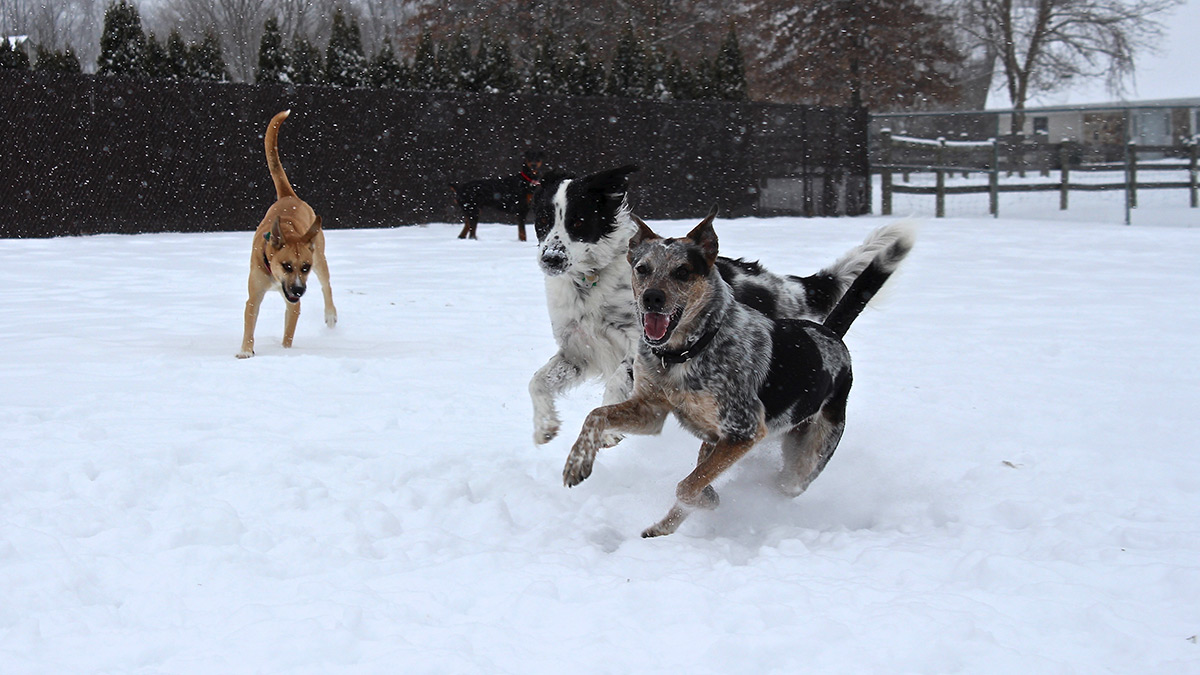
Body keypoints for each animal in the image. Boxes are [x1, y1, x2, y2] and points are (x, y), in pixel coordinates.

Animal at [237, 109, 338, 357]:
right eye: (286, 265)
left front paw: (285, 352)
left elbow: (289, 332)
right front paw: (246, 350)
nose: (300, 290)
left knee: (326, 285)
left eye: (305, 267)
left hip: (320, 257)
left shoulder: (294, 302)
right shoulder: (254, 294)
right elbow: (250, 320)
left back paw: (331, 314)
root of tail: (288, 196)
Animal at [561, 206, 907, 535]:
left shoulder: (745, 432)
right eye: (642, 269)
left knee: (782, 481)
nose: (652, 298)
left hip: (804, 461)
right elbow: (596, 415)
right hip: (717, 442)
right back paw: (658, 529)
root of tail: (832, 335)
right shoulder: (652, 410)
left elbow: (688, 485)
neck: (684, 354)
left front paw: (708, 499)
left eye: (682, 271)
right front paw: (576, 464)